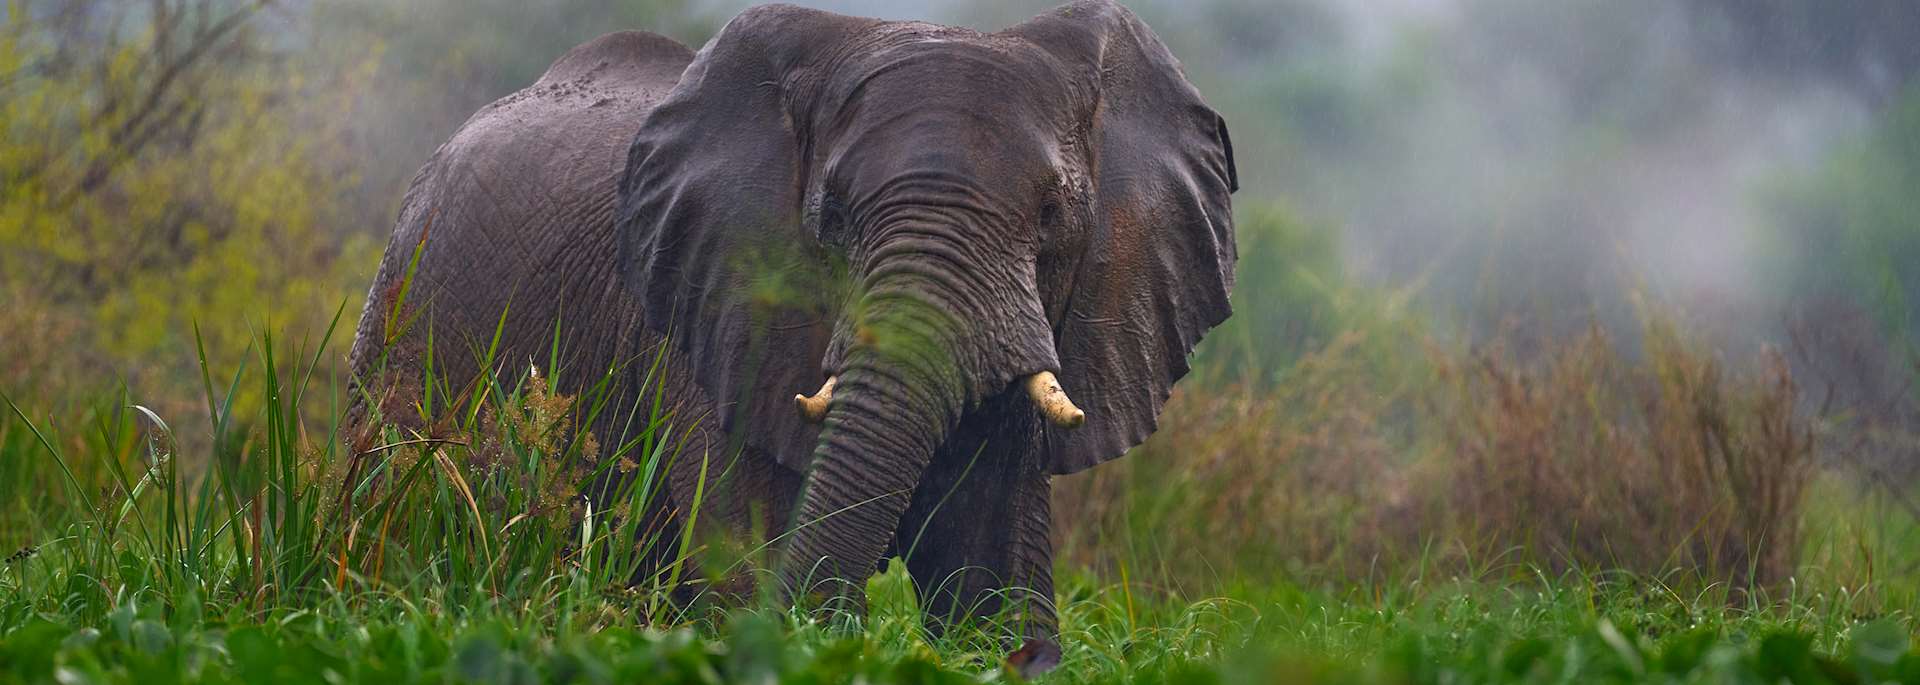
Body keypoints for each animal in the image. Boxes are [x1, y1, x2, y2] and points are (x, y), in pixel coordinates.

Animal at [344, 0, 1237, 644]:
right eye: (832, 220)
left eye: (1053, 218)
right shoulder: (712, 321)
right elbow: (745, 565)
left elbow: (995, 586)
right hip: (393, 324)